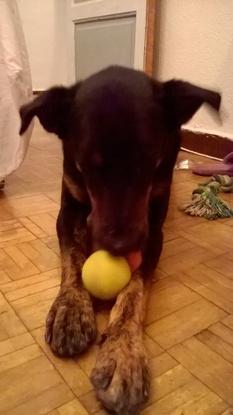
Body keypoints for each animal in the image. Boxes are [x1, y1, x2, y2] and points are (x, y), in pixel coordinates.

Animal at [19, 66, 220, 415]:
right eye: (88, 167)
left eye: (149, 163)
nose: (120, 246)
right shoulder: (67, 211)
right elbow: (72, 259)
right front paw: (71, 309)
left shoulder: (153, 230)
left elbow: (135, 290)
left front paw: (123, 354)